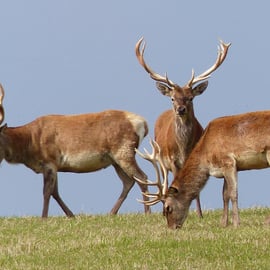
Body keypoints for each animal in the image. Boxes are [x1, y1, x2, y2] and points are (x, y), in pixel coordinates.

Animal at [0, 84, 151, 217]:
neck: (30, 142)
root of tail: (143, 123)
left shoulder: (50, 161)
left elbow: (47, 192)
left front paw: (43, 218)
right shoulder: (54, 166)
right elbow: (55, 192)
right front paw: (71, 215)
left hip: (124, 152)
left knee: (142, 177)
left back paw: (147, 213)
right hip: (115, 160)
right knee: (128, 182)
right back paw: (111, 213)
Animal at [135, 37, 230, 217]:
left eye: (191, 97)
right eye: (172, 98)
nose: (180, 109)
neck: (184, 148)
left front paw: (200, 214)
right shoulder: (173, 160)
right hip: (161, 159)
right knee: (165, 180)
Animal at [137, 110, 270, 230]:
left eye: (168, 208)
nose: (172, 227)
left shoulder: (229, 162)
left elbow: (233, 193)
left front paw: (236, 224)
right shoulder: (224, 168)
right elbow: (224, 195)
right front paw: (223, 223)